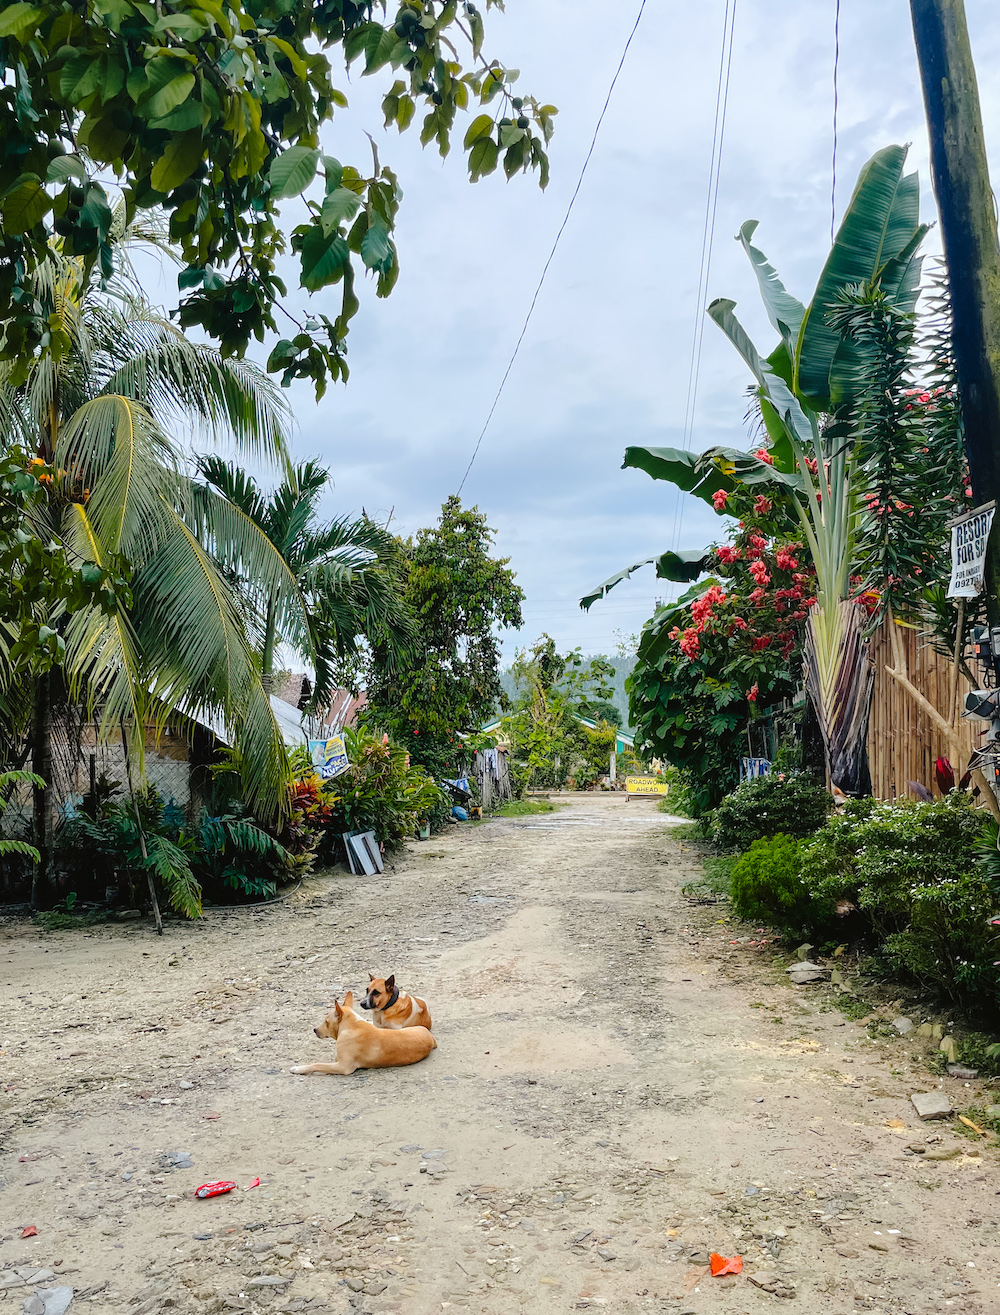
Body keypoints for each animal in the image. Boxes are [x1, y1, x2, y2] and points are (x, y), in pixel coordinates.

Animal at [285, 988, 434, 1073]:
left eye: (326, 1021)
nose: (315, 1030)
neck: (351, 1025)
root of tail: (430, 1037)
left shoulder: (343, 1067)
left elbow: (317, 1064)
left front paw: (299, 1068)